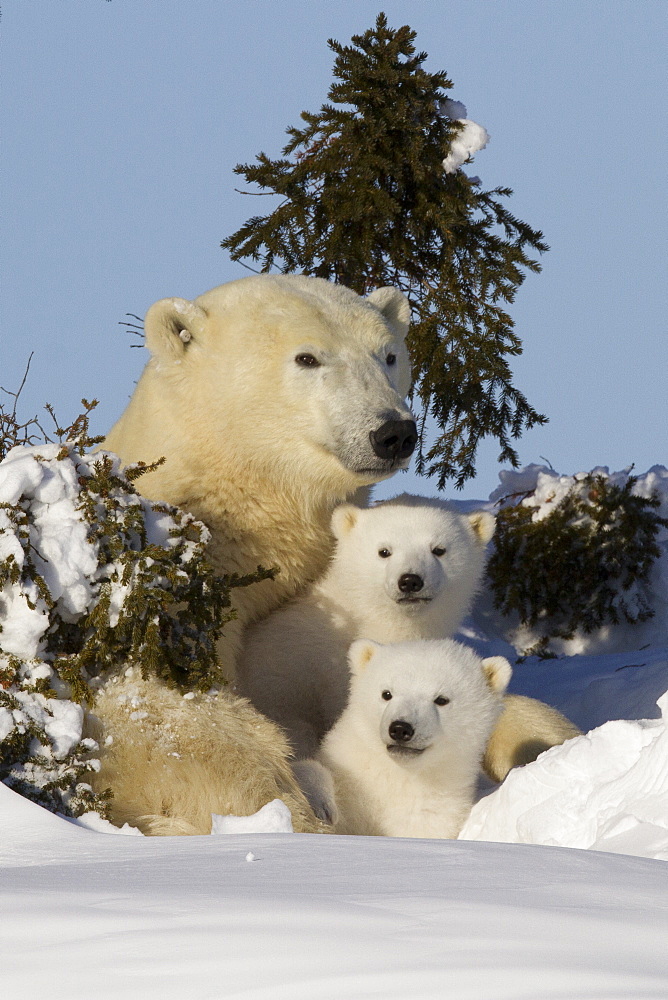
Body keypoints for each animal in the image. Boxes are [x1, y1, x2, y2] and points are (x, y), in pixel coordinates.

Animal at [308, 636, 512, 840]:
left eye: (441, 699)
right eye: (387, 693)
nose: (400, 729)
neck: (398, 775)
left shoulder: (433, 812)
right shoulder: (350, 778)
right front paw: (323, 807)